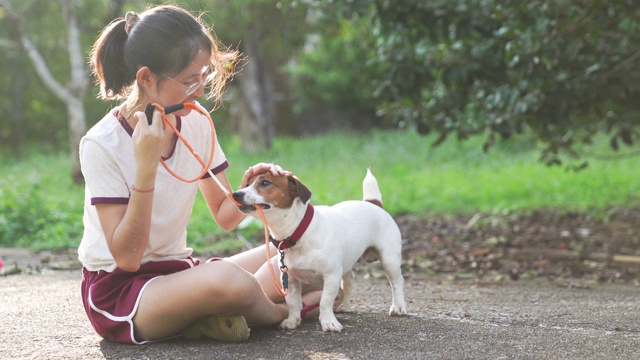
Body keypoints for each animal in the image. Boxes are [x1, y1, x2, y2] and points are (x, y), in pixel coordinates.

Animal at [232, 169, 408, 332]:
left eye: (265, 183)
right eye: (247, 183)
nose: (236, 194)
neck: (299, 232)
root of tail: (373, 203)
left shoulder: (331, 276)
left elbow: (325, 301)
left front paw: (329, 322)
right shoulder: (290, 279)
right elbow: (293, 303)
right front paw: (293, 321)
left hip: (389, 259)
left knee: (397, 282)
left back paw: (398, 307)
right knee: (349, 281)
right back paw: (345, 305)